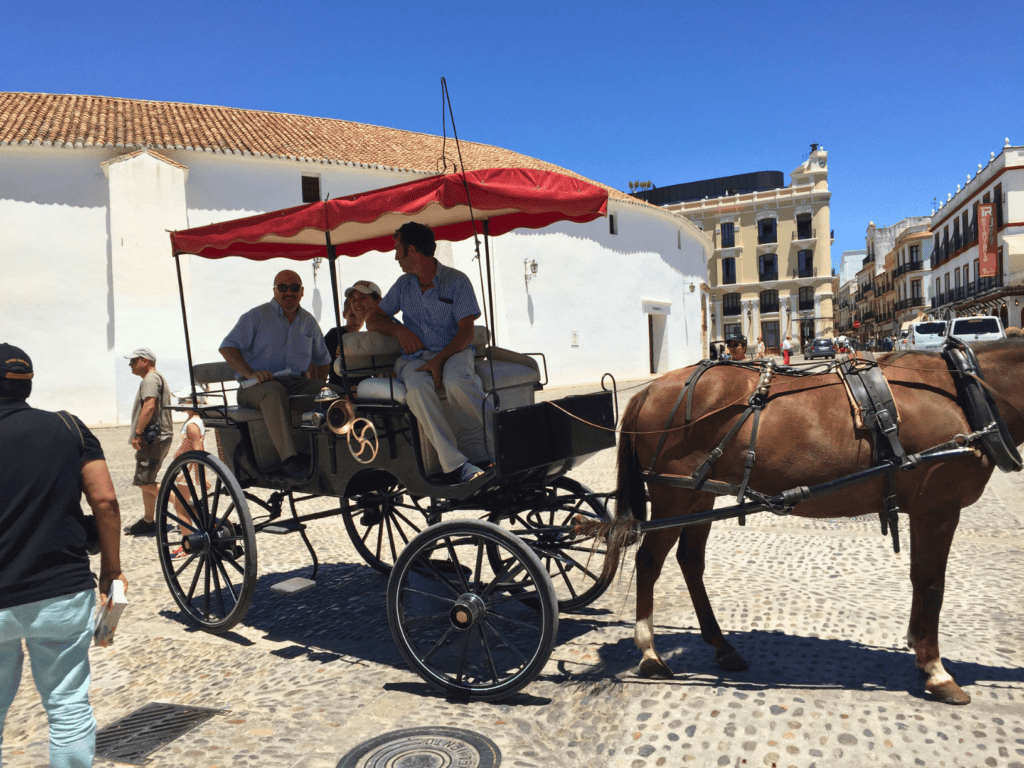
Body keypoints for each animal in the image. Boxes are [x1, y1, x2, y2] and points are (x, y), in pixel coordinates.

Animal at [598, 339, 1024, 708]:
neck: (964, 390)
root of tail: (650, 390)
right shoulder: (938, 508)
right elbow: (933, 584)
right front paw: (937, 671)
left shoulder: (924, 511)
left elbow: (921, 579)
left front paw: (920, 653)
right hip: (674, 497)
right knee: (649, 562)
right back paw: (650, 653)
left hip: (698, 495)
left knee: (689, 561)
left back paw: (722, 647)